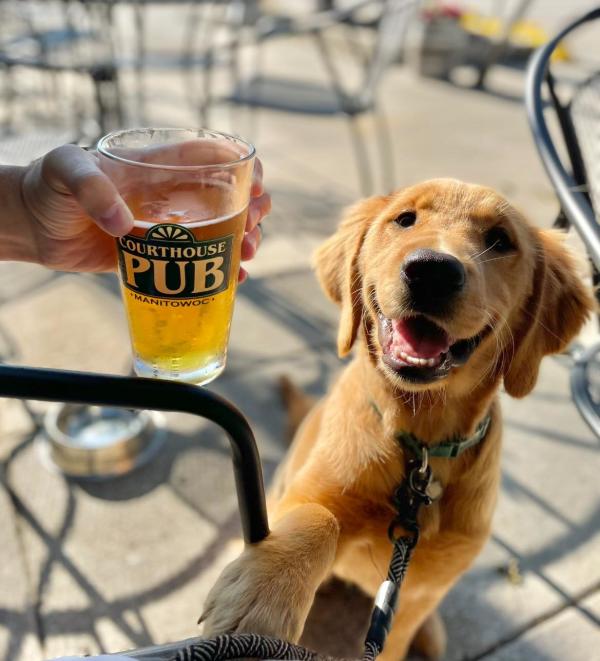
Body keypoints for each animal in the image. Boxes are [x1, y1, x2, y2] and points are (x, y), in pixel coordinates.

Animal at [200, 180, 592, 660]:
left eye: (500, 240)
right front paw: (266, 591)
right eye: (405, 219)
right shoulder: (308, 494)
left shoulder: (417, 594)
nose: (433, 271)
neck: (420, 442)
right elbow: (319, 516)